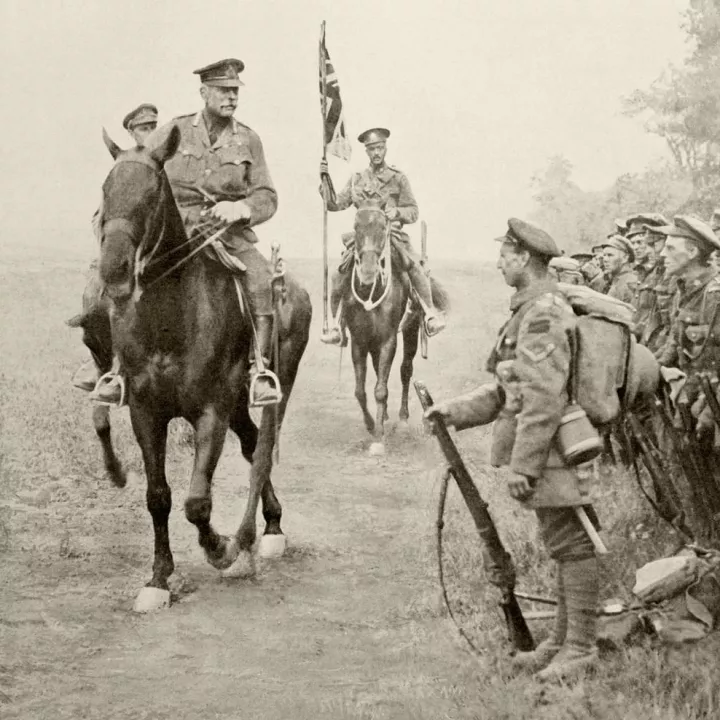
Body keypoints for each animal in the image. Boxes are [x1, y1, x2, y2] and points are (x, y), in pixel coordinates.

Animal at [82, 126, 312, 612]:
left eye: (152, 192)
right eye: (106, 191)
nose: (114, 271)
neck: (170, 318)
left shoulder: (211, 412)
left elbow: (197, 502)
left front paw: (221, 548)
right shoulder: (146, 412)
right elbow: (159, 497)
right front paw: (158, 578)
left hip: (269, 389)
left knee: (262, 450)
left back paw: (257, 536)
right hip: (237, 405)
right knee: (251, 445)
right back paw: (270, 523)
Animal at [342, 205, 448, 452]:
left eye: (384, 227)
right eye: (355, 227)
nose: (368, 272)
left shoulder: (389, 339)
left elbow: (381, 389)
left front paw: (379, 439)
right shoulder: (359, 341)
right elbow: (360, 391)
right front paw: (372, 425)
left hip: (410, 331)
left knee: (405, 370)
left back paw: (402, 418)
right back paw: (386, 416)